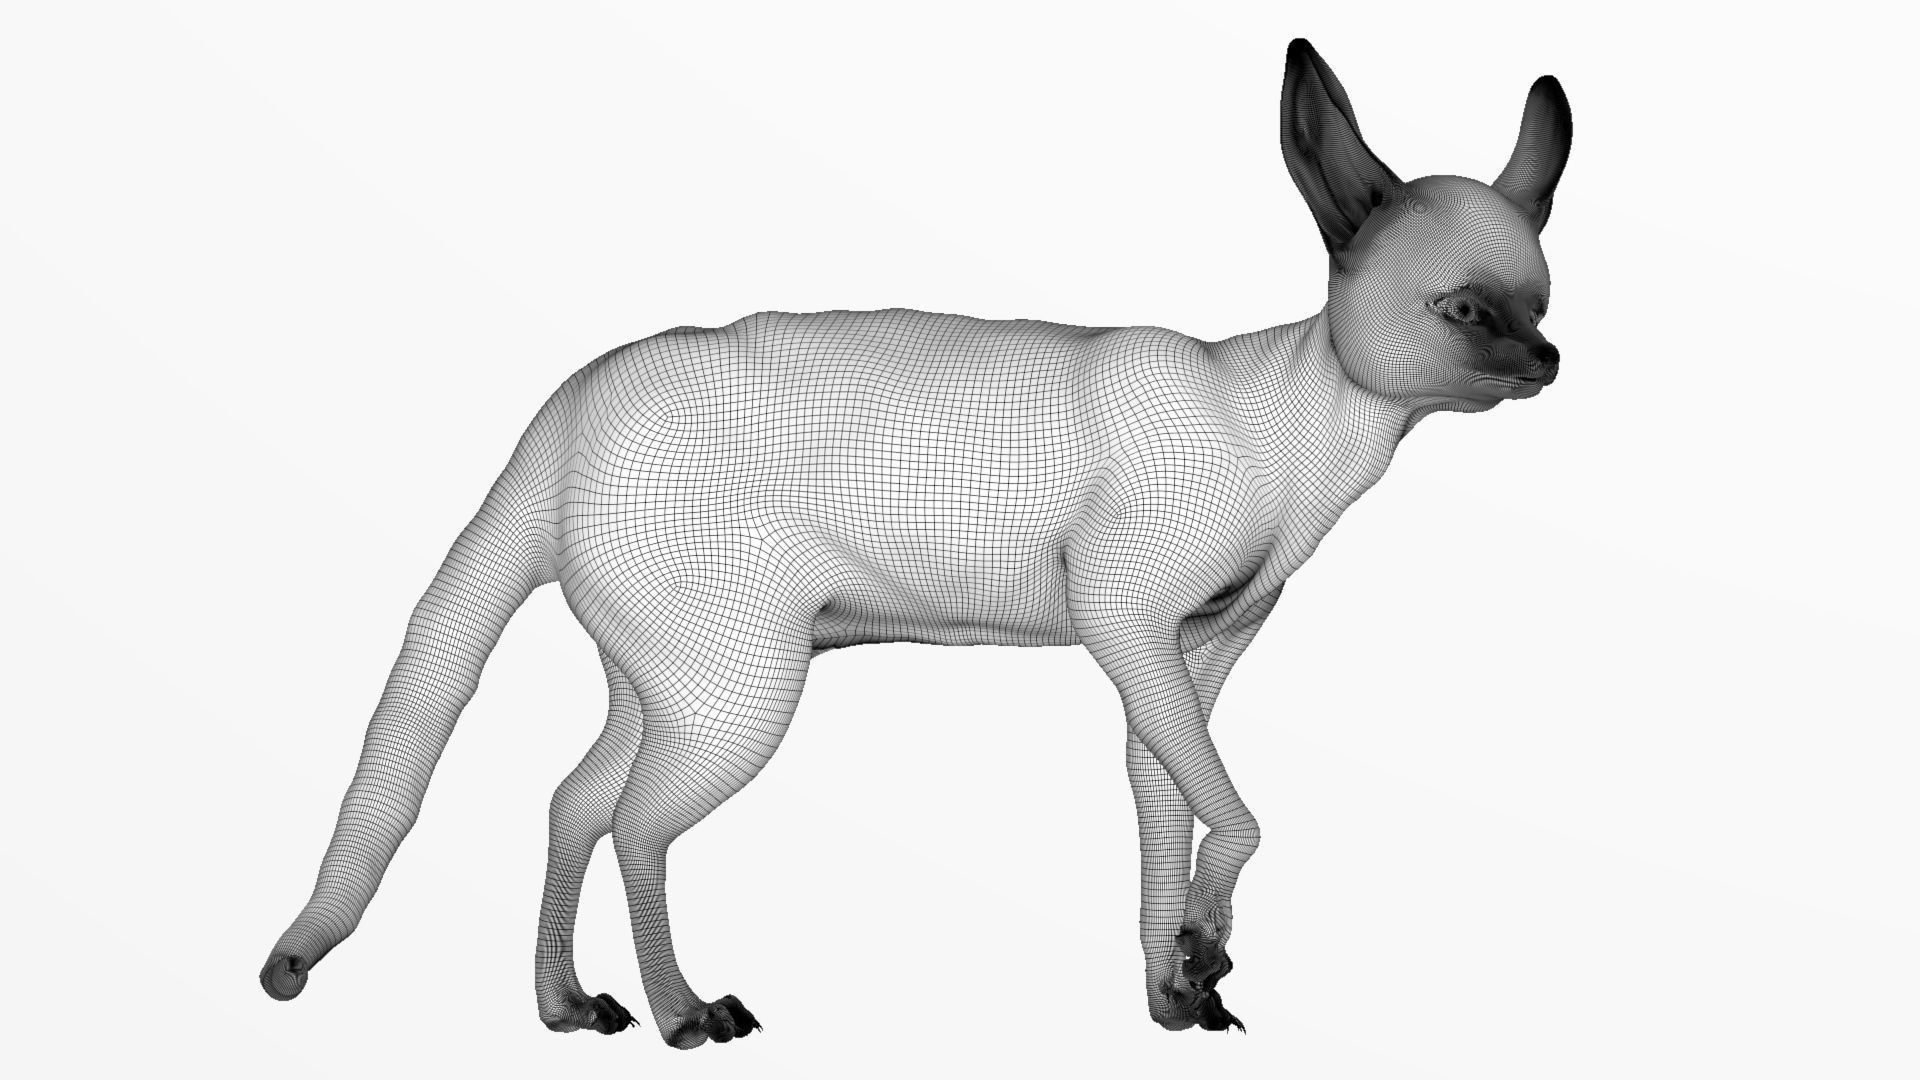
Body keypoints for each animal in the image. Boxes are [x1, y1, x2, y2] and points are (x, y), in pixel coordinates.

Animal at [261, 37, 1572, 1047]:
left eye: (1544, 302)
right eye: (1467, 310)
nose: (1550, 361)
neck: (1297, 432)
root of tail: (569, 403)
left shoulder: (1192, 656)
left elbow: (1170, 810)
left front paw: (1179, 979)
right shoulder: (1127, 623)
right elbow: (1237, 816)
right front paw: (1199, 951)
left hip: (675, 677)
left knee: (570, 801)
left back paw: (567, 1007)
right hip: (741, 693)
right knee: (632, 820)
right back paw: (685, 1013)